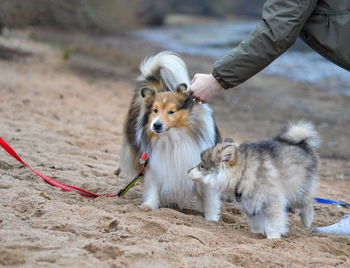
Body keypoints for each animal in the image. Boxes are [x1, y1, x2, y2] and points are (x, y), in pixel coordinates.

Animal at [119, 51, 220, 221]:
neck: (173, 137)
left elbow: (210, 196)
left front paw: (211, 218)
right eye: (155, 110)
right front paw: (148, 206)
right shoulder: (153, 163)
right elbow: (152, 186)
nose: (156, 125)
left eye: (172, 112)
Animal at [189, 120, 320, 238]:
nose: (188, 171)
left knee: (307, 203)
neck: (243, 173)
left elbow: (273, 224)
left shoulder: (272, 202)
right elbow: (256, 223)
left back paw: (307, 221)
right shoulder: (250, 204)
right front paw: (258, 233)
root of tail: (300, 143)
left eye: (202, 166)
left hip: (299, 190)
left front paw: (273, 239)